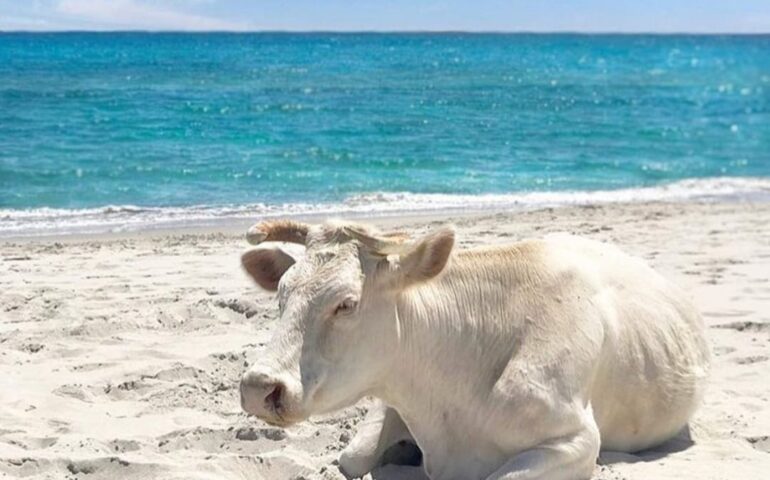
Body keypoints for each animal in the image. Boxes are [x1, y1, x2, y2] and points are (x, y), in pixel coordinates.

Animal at [238, 219, 708, 478]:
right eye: (281, 294)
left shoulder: (576, 438)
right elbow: (351, 458)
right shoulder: (391, 397)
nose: (258, 387)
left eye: (346, 303)